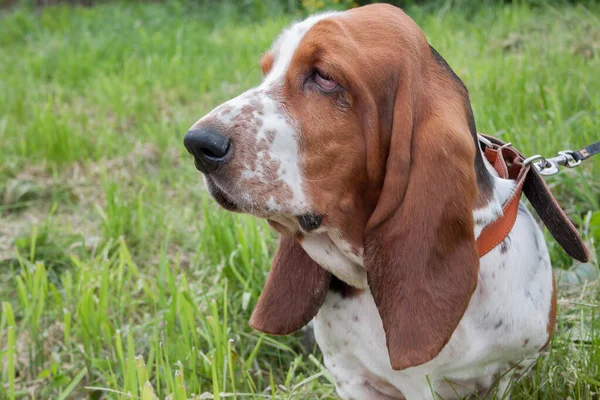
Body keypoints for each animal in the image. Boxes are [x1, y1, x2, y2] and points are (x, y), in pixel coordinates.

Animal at [182, 3, 564, 400]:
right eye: (267, 71)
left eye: (324, 77)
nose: (197, 144)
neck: (365, 271)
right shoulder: (349, 375)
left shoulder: (517, 366)